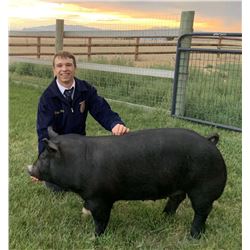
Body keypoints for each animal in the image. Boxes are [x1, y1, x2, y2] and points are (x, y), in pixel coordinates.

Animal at [27, 128, 227, 239]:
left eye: (44, 156)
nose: (29, 169)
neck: (77, 161)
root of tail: (210, 143)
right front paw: (85, 215)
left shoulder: (100, 198)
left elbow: (101, 219)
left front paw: (94, 238)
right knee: (177, 198)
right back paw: (164, 217)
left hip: (204, 190)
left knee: (201, 212)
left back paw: (193, 237)